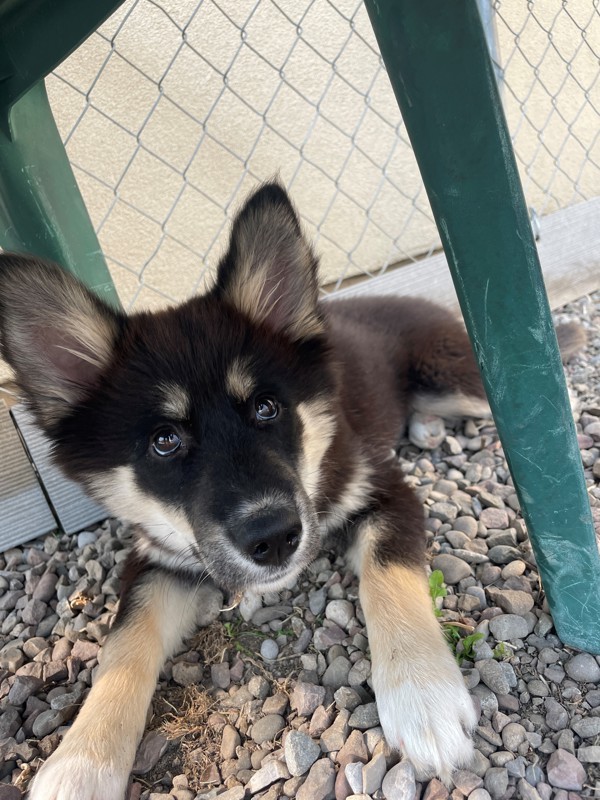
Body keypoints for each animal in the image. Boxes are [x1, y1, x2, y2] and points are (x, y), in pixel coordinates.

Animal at [0, 181, 580, 800]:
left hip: (454, 374)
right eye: (163, 441)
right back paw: (423, 427)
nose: (274, 538)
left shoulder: (383, 488)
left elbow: (388, 576)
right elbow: (122, 645)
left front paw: (423, 695)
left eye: (266, 407)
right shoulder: (157, 555)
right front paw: (80, 764)